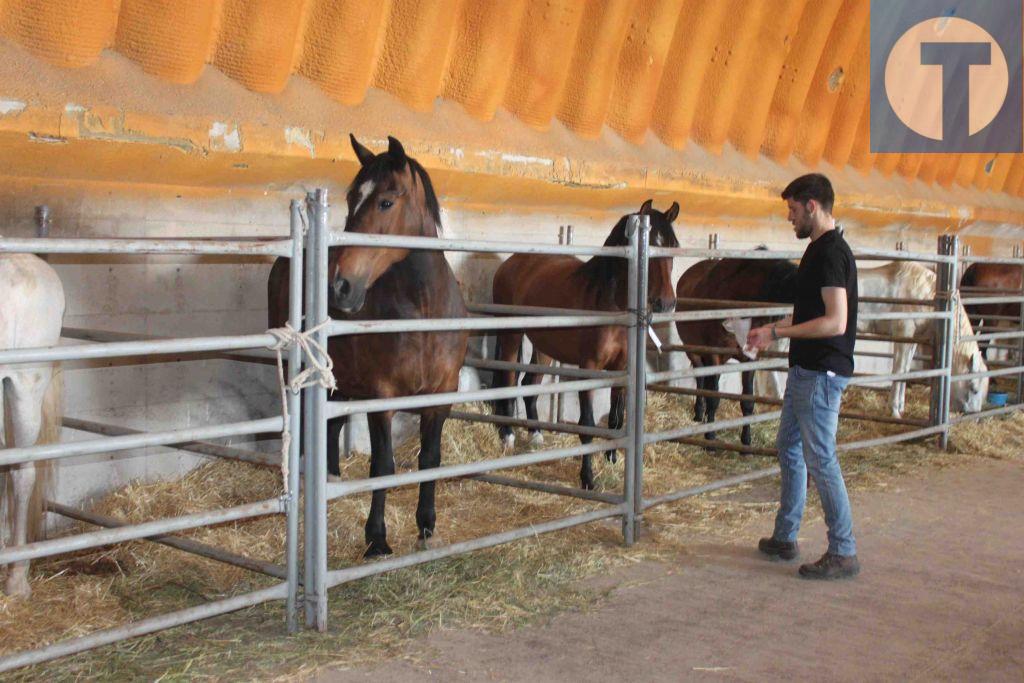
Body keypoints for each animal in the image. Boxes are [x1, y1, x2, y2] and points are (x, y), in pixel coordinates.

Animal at [268, 136, 468, 557]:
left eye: (386, 202)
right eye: (350, 200)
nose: (339, 286)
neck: (423, 313)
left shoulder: (441, 395)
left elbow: (430, 458)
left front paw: (426, 527)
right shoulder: (382, 398)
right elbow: (382, 467)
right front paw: (377, 539)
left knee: (332, 425)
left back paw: (331, 478)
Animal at [489, 200, 675, 489]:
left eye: (673, 247)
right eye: (652, 249)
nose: (666, 303)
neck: (610, 303)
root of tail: (511, 263)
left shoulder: (620, 368)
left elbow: (615, 419)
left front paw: (612, 459)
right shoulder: (589, 368)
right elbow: (587, 424)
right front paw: (588, 478)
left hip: (543, 346)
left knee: (529, 383)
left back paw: (536, 435)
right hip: (511, 335)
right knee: (507, 378)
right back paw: (507, 435)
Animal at [679, 253, 798, 446]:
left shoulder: (749, 359)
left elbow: (747, 402)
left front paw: (746, 439)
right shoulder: (714, 354)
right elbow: (713, 397)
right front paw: (710, 436)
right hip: (693, 351)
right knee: (701, 378)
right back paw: (699, 414)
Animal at [860, 262, 987, 419]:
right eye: (974, 389)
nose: (974, 415)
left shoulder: (913, 338)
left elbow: (906, 370)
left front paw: (901, 407)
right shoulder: (903, 333)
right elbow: (899, 370)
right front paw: (894, 410)